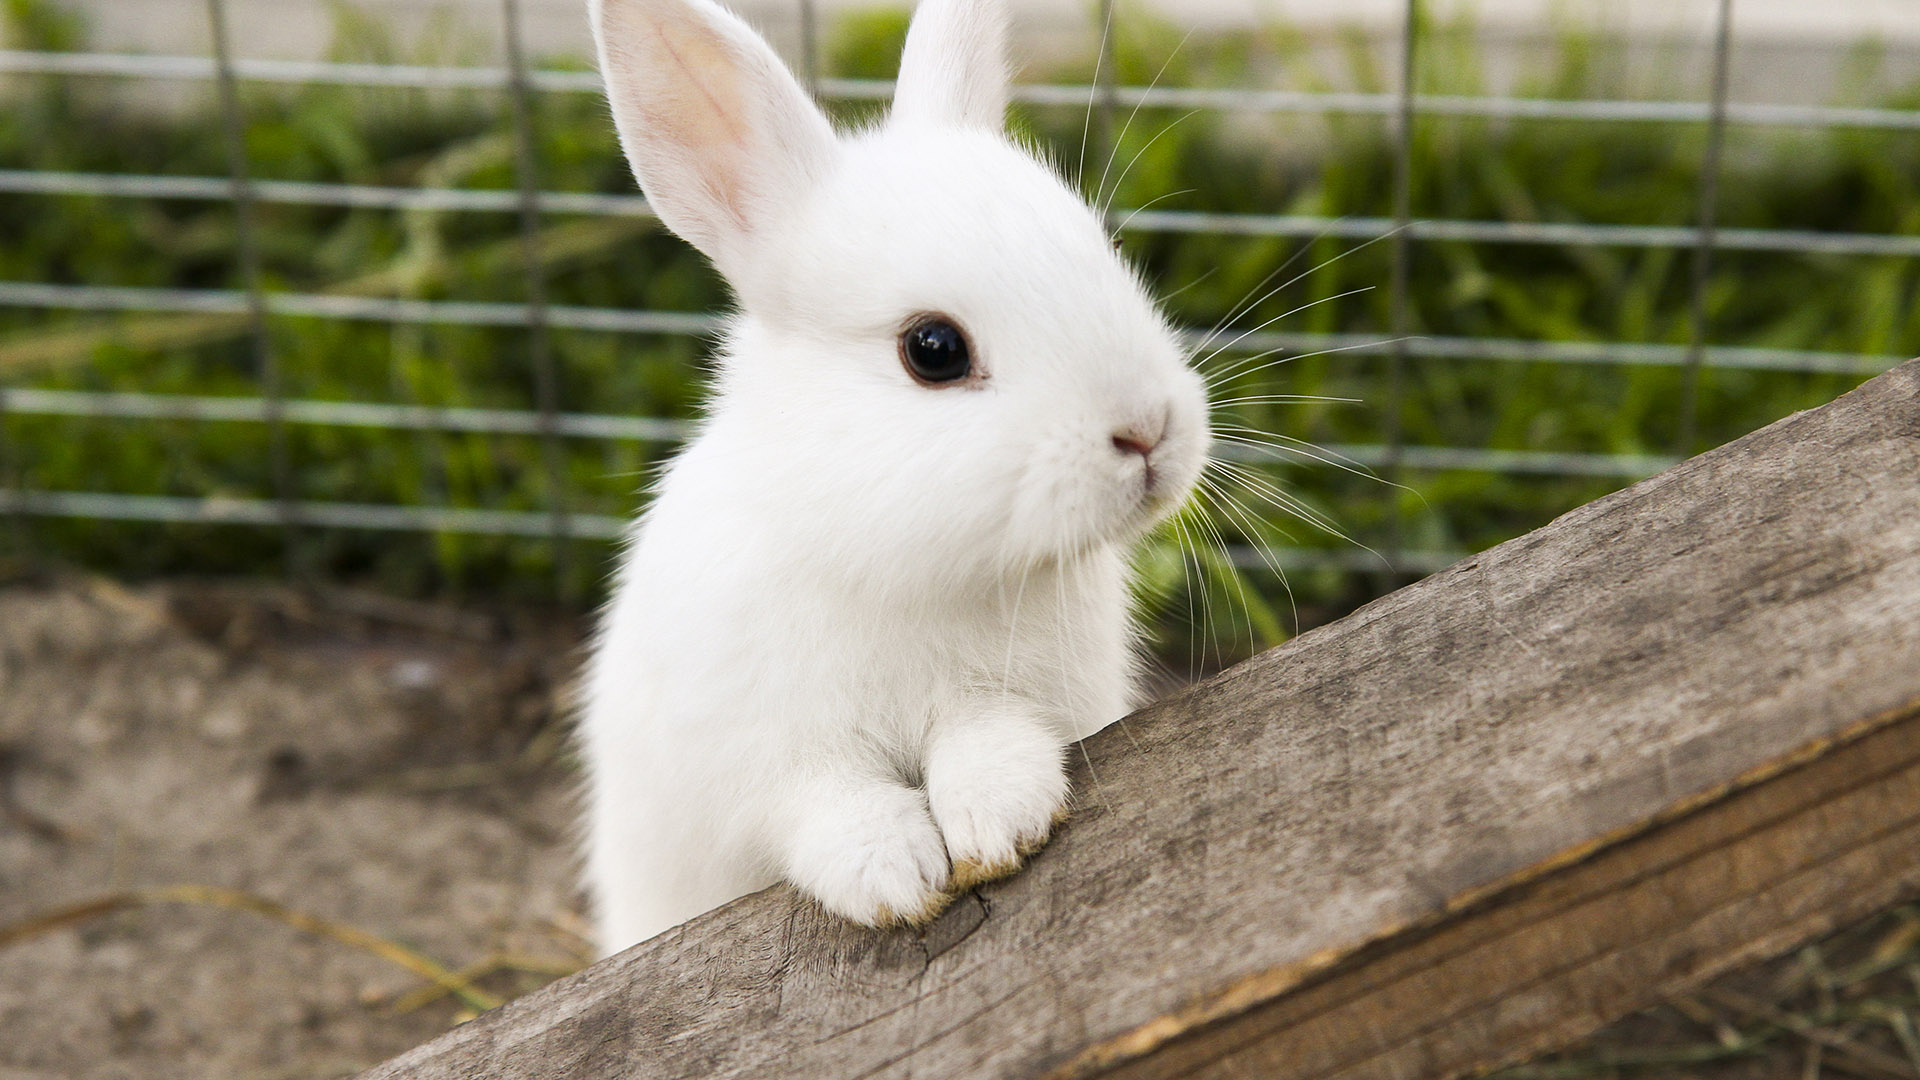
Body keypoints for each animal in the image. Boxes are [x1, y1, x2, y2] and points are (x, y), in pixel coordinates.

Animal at [579, 0, 1213, 949]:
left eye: (1103, 250)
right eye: (933, 349)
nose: (1148, 431)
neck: (901, 565)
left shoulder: (1020, 696)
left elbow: (989, 739)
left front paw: (999, 824)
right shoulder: (760, 762)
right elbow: (824, 806)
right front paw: (895, 875)